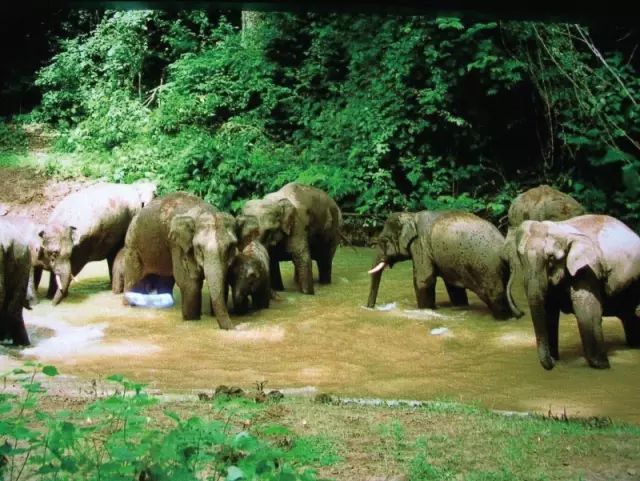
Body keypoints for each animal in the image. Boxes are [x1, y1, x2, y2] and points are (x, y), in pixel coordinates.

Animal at [122, 191, 238, 330]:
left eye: (230, 247)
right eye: (199, 248)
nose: (235, 328)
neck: (202, 212)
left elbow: (223, 281)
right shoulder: (177, 243)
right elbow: (189, 282)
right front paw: (192, 319)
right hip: (133, 247)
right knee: (133, 279)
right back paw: (129, 305)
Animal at [368, 210, 524, 318]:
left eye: (384, 241)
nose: (369, 308)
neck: (412, 215)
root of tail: (505, 250)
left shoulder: (420, 245)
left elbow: (423, 279)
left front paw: (426, 311)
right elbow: (453, 286)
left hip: (488, 268)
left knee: (495, 295)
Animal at [516, 214, 640, 368]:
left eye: (551, 258)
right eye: (519, 257)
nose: (552, 362)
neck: (562, 230)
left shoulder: (587, 270)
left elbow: (586, 311)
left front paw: (601, 365)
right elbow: (549, 311)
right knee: (626, 313)